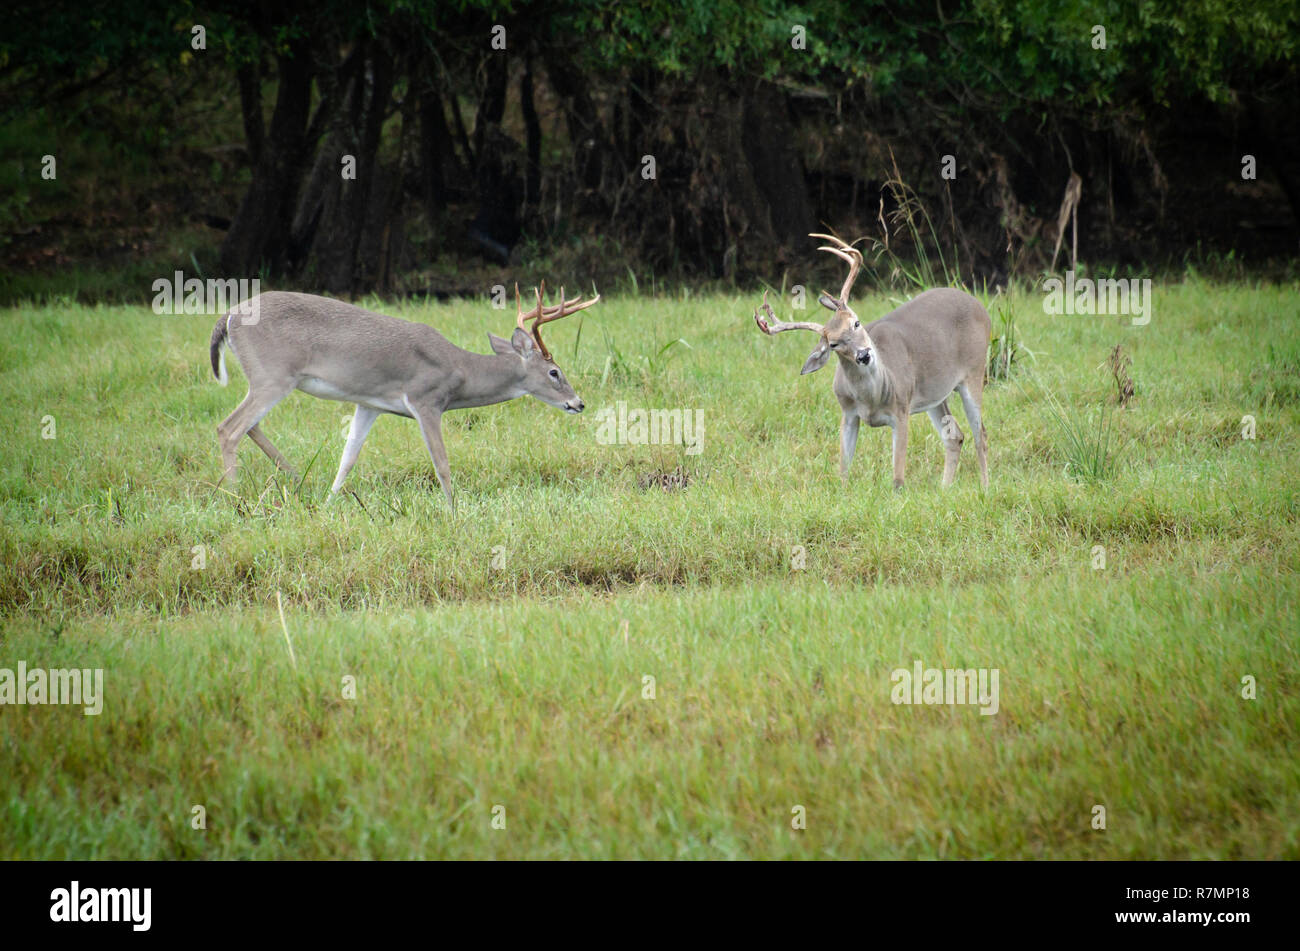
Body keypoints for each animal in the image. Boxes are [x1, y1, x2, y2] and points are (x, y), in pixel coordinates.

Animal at [208, 283, 599, 510]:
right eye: (555, 372)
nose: (578, 403)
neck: (461, 370)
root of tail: (228, 316)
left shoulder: (369, 403)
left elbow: (348, 457)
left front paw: (331, 503)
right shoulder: (426, 399)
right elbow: (441, 463)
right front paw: (453, 511)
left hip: (269, 379)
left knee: (249, 426)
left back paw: (296, 478)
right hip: (273, 375)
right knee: (229, 428)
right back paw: (235, 497)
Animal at [753, 234, 991, 489]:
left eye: (856, 323)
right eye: (833, 344)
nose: (864, 355)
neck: (873, 399)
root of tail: (979, 305)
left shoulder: (901, 409)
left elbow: (898, 478)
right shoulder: (847, 413)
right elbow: (843, 471)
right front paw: (843, 492)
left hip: (974, 371)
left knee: (981, 434)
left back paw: (985, 488)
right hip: (935, 393)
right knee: (955, 435)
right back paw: (944, 489)